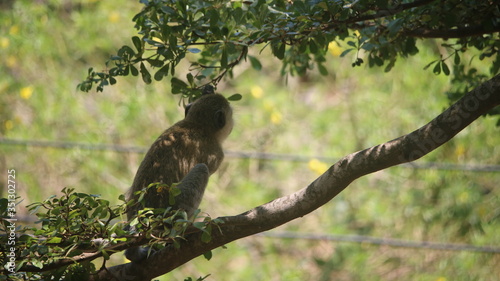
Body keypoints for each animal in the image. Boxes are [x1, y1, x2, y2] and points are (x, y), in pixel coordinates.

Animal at [125, 93, 234, 262]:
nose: (233, 125)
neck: (195, 124)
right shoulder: (217, 154)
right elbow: (207, 167)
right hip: (170, 209)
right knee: (202, 170)